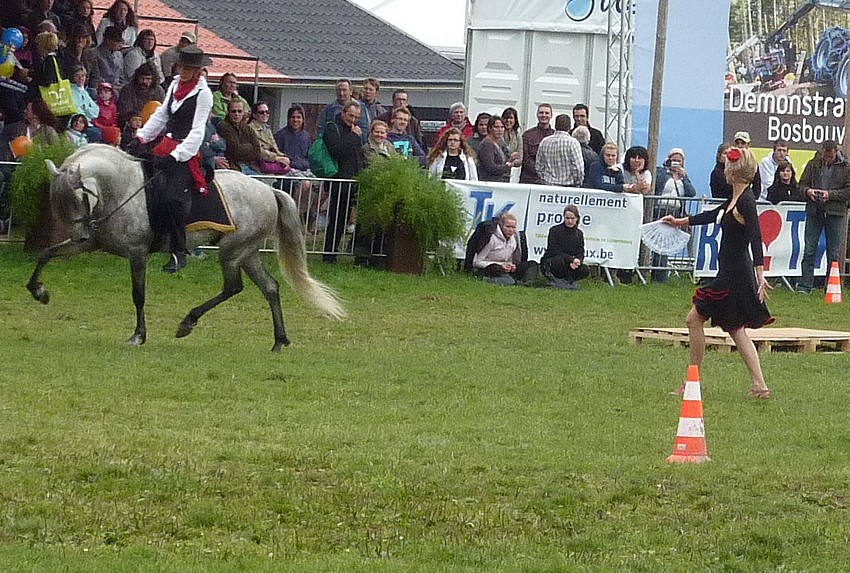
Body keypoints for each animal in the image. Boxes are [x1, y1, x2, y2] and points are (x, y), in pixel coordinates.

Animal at [27, 144, 344, 348]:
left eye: (78, 198)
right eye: (58, 203)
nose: (79, 234)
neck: (121, 188)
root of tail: (269, 189)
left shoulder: (137, 253)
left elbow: (138, 295)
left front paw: (138, 336)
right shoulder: (91, 244)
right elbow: (46, 253)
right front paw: (39, 291)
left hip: (233, 251)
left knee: (234, 287)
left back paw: (187, 323)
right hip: (248, 252)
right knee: (269, 288)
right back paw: (279, 340)